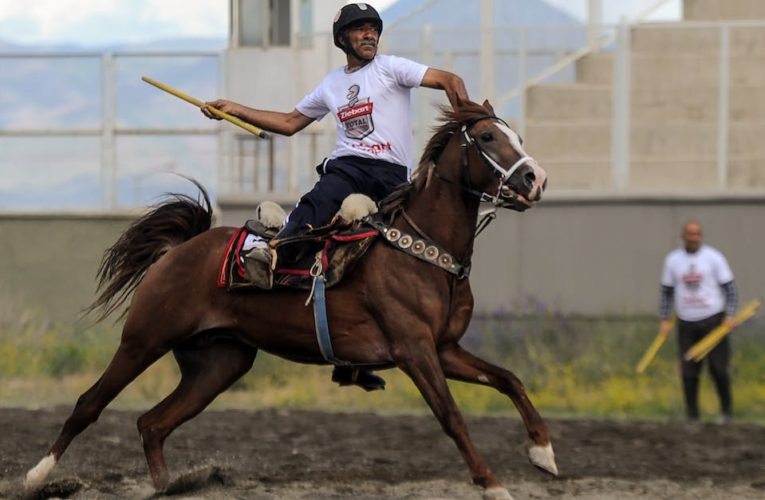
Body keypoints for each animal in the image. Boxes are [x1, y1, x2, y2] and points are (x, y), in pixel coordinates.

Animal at [23, 99, 548, 498]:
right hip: (144, 339)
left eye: (519, 136)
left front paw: (543, 453)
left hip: (220, 364)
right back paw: (37, 476)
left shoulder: (445, 349)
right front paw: (493, 484)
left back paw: (168, 485)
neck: (421, 250)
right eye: (487, 138)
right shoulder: (414, 351)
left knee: (152, 424)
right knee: (90, 404)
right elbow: (452, 417)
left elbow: (510, 380)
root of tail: (177, 252)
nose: (535, 179)